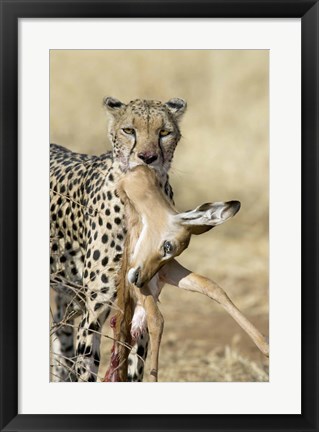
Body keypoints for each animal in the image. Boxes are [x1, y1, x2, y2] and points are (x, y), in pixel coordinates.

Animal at [50, 97, 188, 382]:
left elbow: (134, 367)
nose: (147, 157)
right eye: (129, 130)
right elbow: (87, 368)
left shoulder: (142, 301)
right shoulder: (95, 308)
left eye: (164, 132)